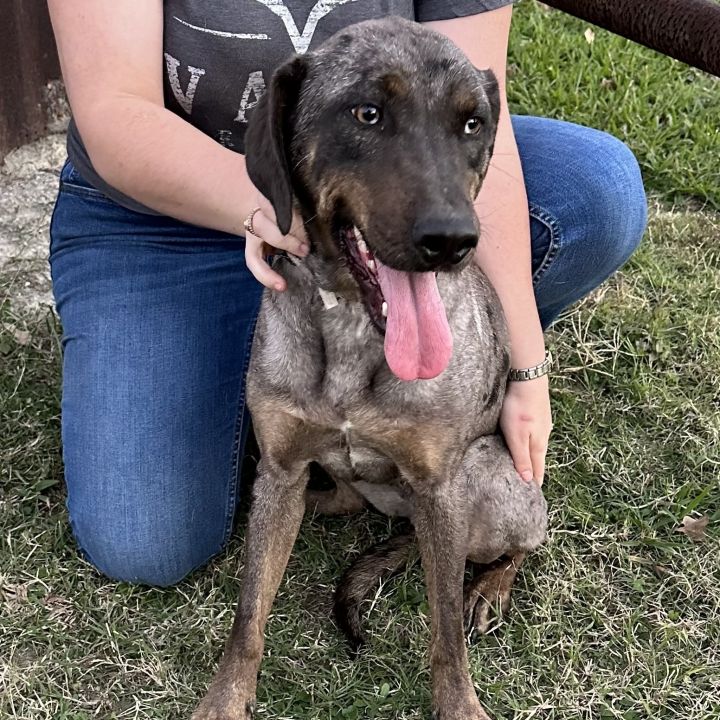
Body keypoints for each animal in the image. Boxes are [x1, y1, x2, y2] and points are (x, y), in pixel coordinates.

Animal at [191, 16, 544, 720]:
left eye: (473, 122)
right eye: (367, 113)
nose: (454, 241)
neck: (355, 326)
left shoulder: (439, 487)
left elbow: (445, 635)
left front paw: (460, 704)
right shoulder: (282, 464)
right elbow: (248, 614)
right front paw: (225, 699)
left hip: (492, 480)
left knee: (511, 550)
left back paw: (490, 587)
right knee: (346, 498)